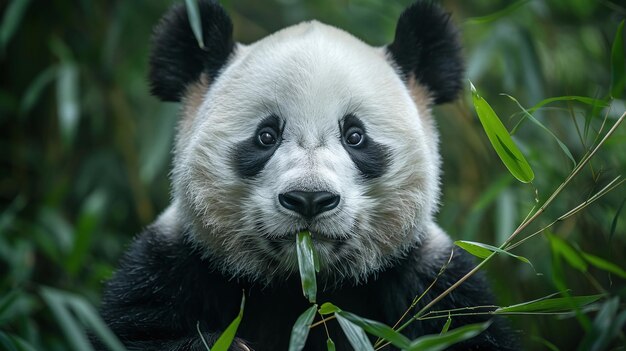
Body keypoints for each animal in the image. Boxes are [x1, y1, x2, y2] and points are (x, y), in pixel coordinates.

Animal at [98, 0, 516, 351]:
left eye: (355, 136)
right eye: (266, 136)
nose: (310, 199)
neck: (304, 287)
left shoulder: (433, 282)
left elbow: (461, 327)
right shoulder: (170, 270)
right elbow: (134, 332)